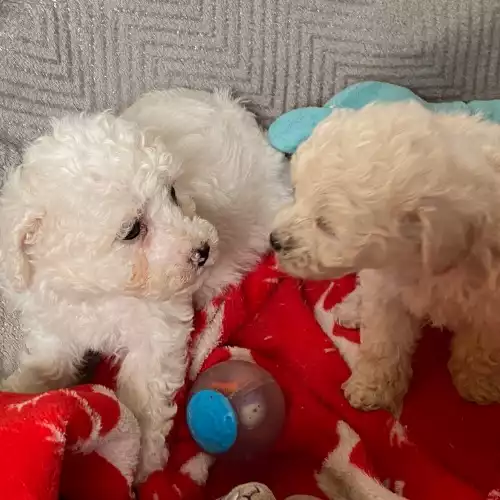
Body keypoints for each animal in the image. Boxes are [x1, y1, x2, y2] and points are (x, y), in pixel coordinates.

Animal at [0, 90, 290, 480]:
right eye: (133, 230)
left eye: (172, 193)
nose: (203, 250)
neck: (99, 292)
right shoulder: (54, 323)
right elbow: (47, 365)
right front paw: (20, 393)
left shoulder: (155, 332)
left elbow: (143, 398)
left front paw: (141, 466)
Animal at [272, 100, 500, 410]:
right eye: (296, 193)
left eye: (326, 225)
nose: (274, 240)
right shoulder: (386, 290)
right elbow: (384, 341)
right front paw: (373, 387)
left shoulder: (490, 303)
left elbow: (481, 343)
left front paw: (478, 381)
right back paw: (352, 309)